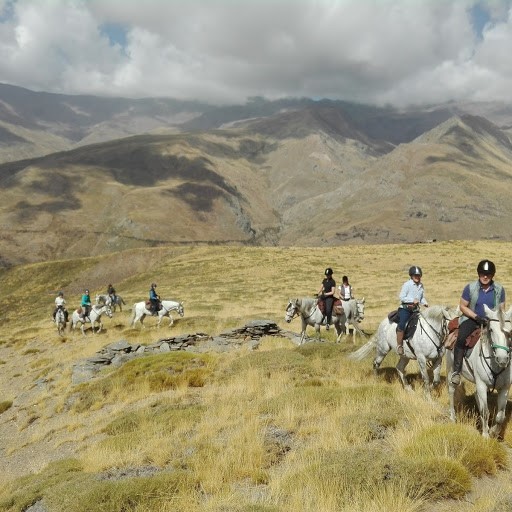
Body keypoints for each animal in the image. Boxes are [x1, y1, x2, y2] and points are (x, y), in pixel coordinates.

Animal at [444, 304, 512, 440]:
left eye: (510, 331)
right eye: (491, 330)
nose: (502, 359)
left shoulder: (504, 389)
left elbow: (500, 416)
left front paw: (493, 432)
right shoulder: (482, 384)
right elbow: (486, 412)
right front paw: (485, 435)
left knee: (477, 397)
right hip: (451, 370)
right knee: (451, 391)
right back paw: (453, 417)